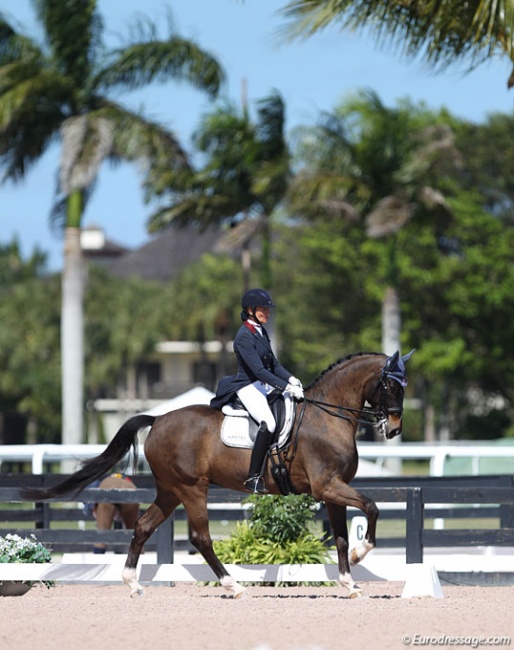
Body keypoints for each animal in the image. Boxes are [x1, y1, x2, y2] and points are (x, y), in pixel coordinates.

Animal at [21, 350, 412, 596]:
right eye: (390, 385)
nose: (393, 429)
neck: (328, 416)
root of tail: (158, 419)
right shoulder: (327, 486)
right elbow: (372, 508)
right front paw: (363, 553)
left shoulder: (334, 490)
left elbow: (342, 537)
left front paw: (350, 583)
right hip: (192, 488)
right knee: (201, 538)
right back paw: (232, 586)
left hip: (170, 491)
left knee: (144, 527)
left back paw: (132, 584)